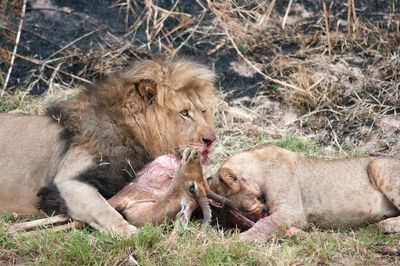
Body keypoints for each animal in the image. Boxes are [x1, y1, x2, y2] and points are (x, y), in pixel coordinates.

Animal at [0, 57, 217, 235]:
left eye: (203, 111)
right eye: (184, 113)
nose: (211, 139)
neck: (132, 130)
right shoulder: (68, 181)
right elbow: (105, 211)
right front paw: (136, 235)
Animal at [208, 143, 400, 241]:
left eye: (243, 208)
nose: (257, 215)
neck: (259, 165)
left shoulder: (292, 211)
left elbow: (266, 223)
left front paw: (239, 241)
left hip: (378, 165)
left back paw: (387, 224)